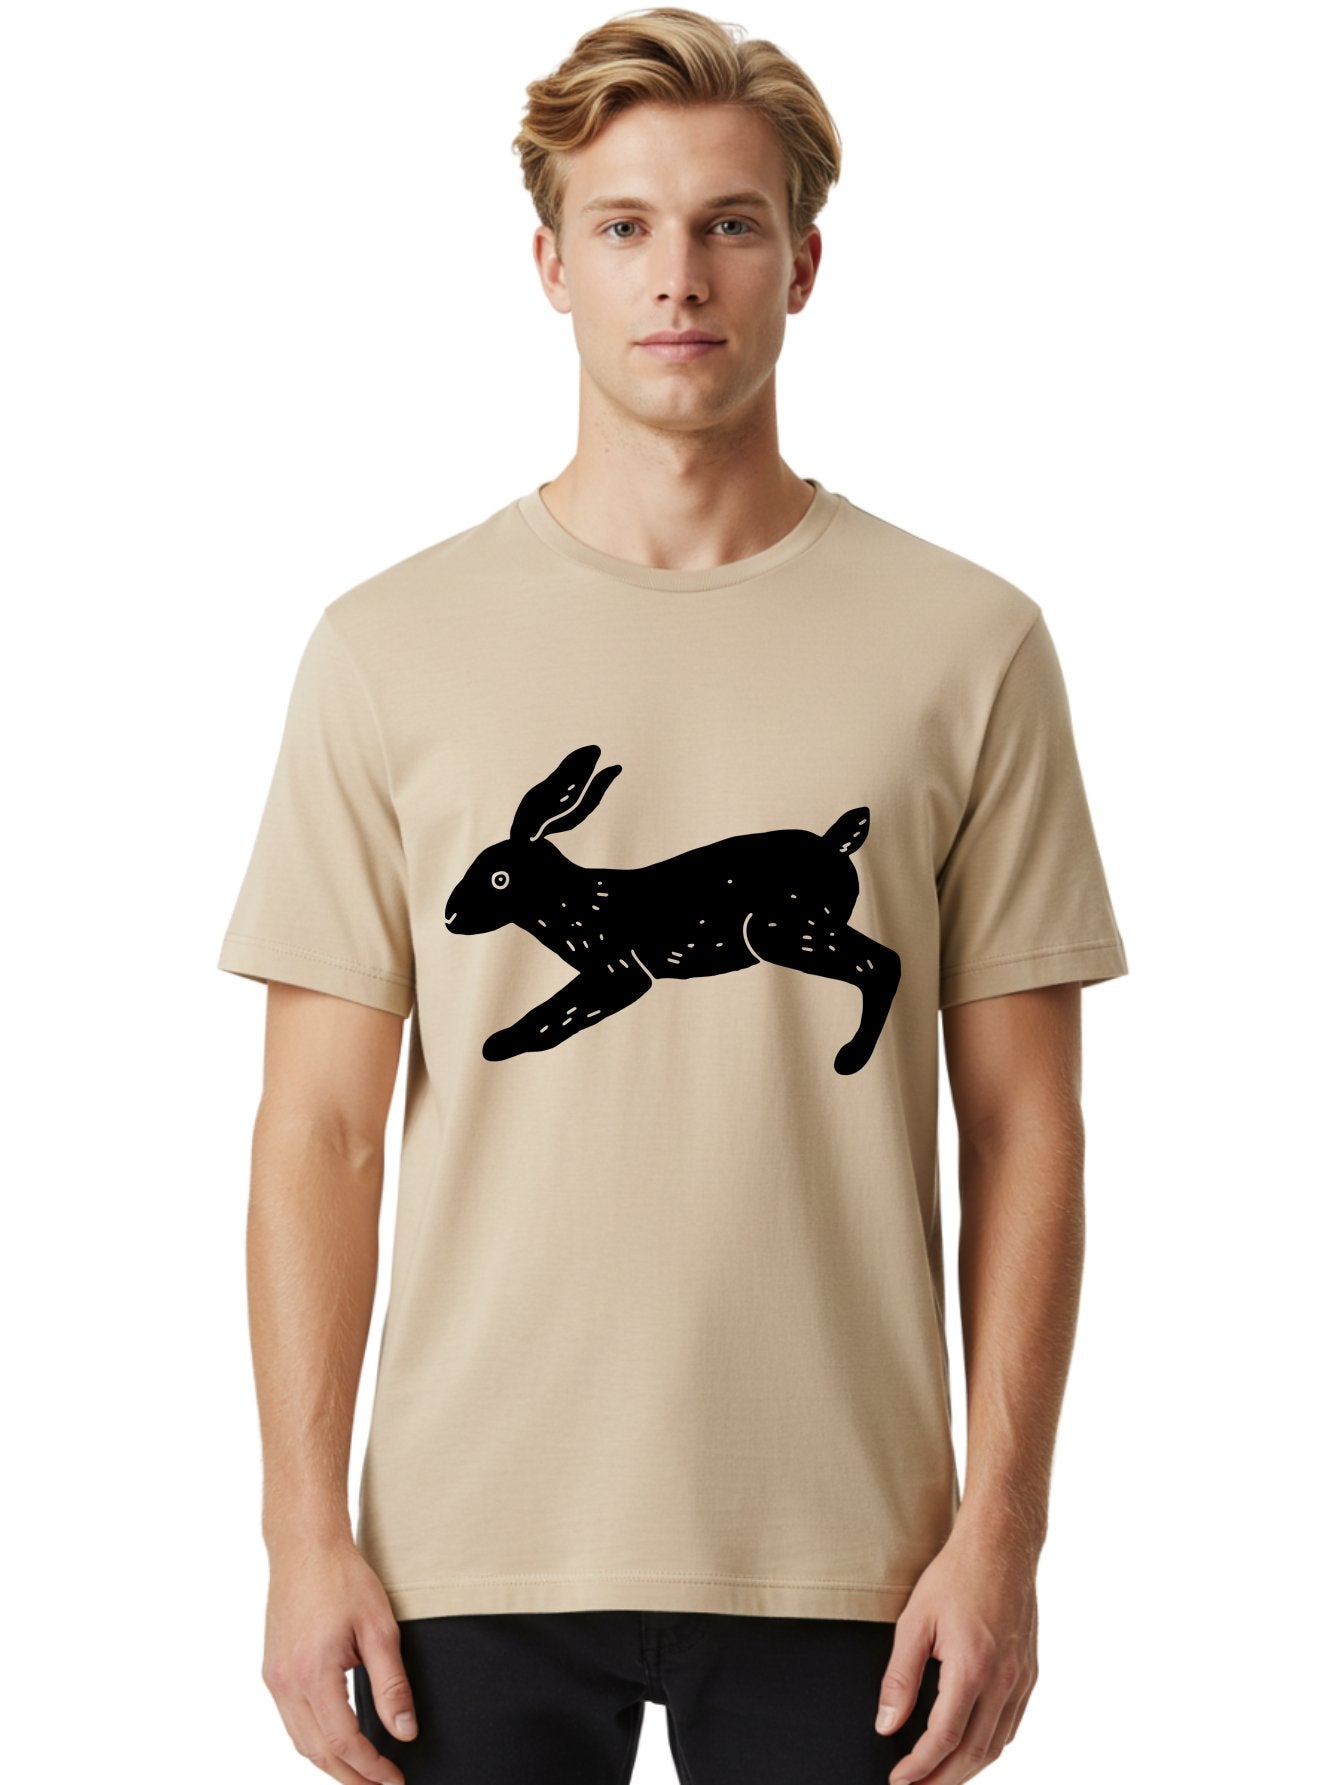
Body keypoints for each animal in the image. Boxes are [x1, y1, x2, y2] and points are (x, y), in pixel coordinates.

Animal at [444, 744, 901, 1075]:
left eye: (499, 879)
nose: (449, 917)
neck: (569, 899)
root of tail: (838, 845)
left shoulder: (618, 970)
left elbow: (554, 1014)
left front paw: (498, 1044)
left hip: (780, 926)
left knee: (884, 962)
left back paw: (850, 1059)